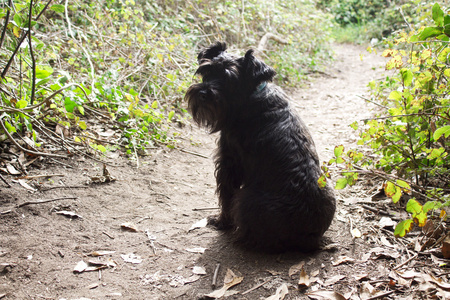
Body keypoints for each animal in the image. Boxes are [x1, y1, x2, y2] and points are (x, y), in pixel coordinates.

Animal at [185, 41, 336, 253]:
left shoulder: (229, 163)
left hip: (246, 199)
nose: (203, 93)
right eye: (206, 71)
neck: (250, 96)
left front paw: (222, 222)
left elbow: (226, 195)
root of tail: (311, 239)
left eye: (229, 79)